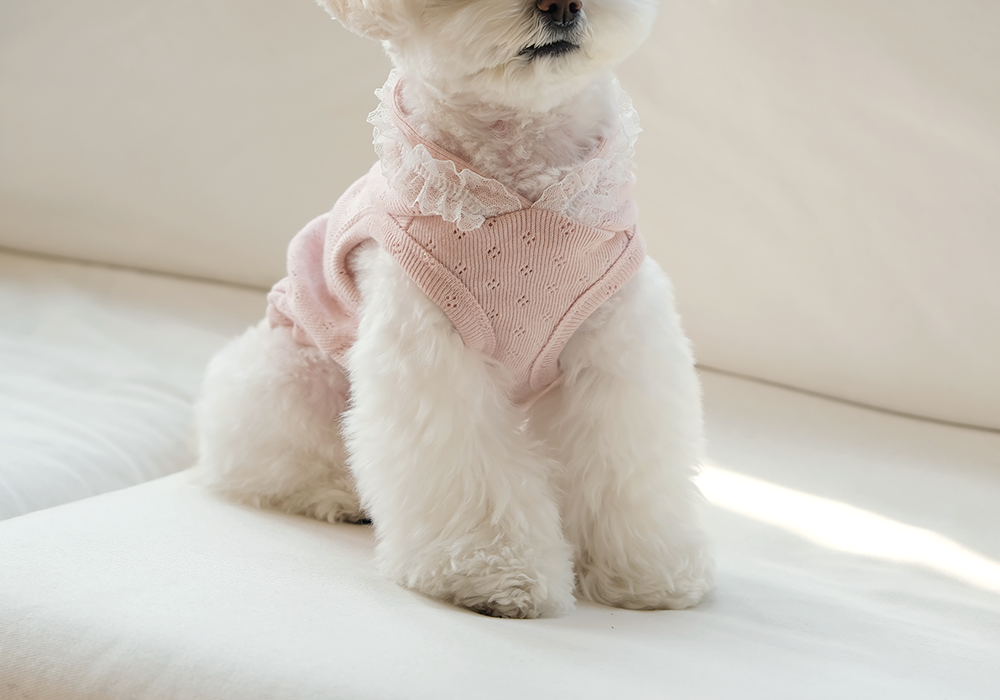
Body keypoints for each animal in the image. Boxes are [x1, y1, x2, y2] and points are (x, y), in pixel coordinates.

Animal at [194, 0, 713, 618]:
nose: (561, 4)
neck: (521, 181)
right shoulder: (431, 354)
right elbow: (469, 468)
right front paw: (492, 575)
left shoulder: (617, 342)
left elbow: (626, 461)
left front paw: (643, 569)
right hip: (291, 371)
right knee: (267, 460)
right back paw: (340, 495)